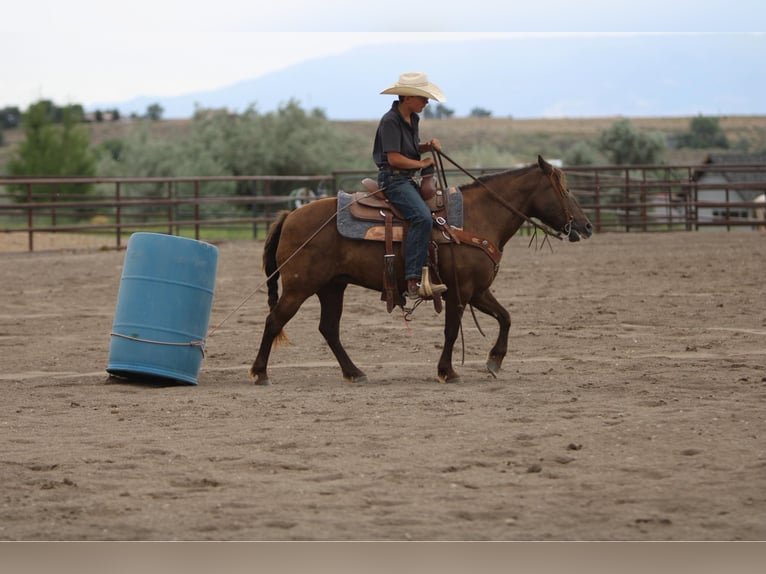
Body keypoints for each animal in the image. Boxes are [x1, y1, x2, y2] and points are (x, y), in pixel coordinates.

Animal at [250, 155, 592, 384]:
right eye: (564, 190)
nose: (587, 226)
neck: (477, 218)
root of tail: (289, 216)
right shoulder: (460, 291)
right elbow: (452, 331)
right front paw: (447, 371)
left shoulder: (478, 290)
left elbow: (505, 317)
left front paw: (494, 361)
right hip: (299, 287)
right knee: (274, 320)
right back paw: (259, 372)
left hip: (332, 287)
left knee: (329, 329)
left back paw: (355, 372)